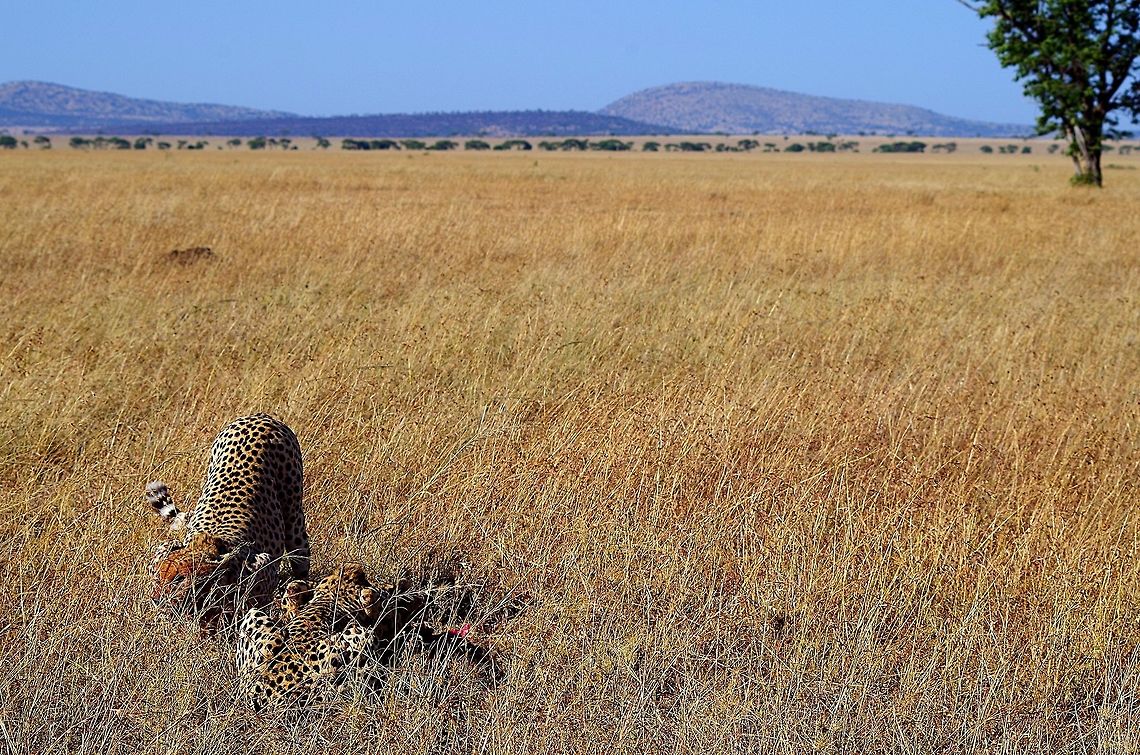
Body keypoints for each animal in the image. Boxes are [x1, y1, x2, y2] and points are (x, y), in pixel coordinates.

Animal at [149, 413, 310, 630]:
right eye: (159, 577)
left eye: (178, 579)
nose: (156, 599)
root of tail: (259, 416)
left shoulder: (264, 565)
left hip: (294, 515)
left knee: (300, 558)